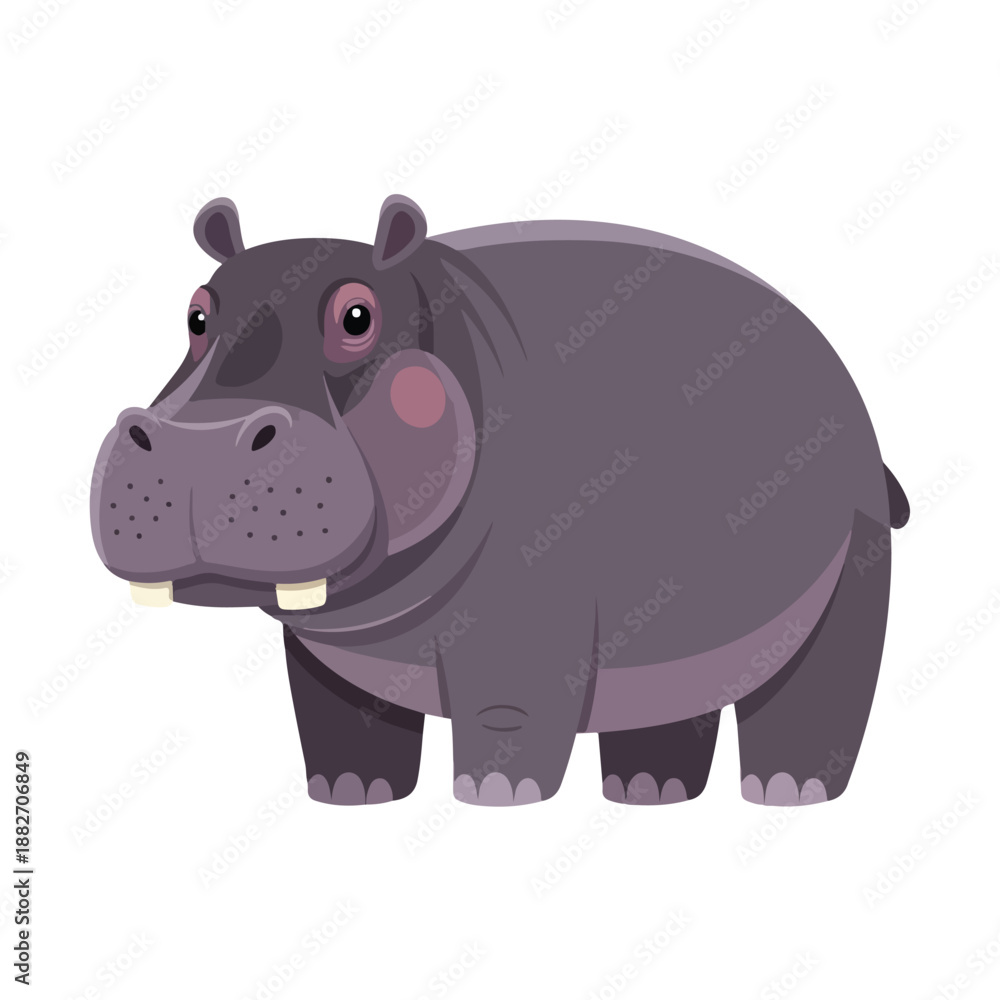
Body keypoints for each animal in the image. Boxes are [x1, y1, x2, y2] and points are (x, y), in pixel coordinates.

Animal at [90, 195, 908, 807]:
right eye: (196, 315)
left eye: (357, 316)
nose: (196, 442)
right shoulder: (325, 660)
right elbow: (341, 724)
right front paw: (349, 794)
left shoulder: (526, 622)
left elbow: (508, 716)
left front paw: (495, 797)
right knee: (674, 708)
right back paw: (649, 789)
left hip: (853, 580)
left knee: (819, 696)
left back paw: (788, 791)